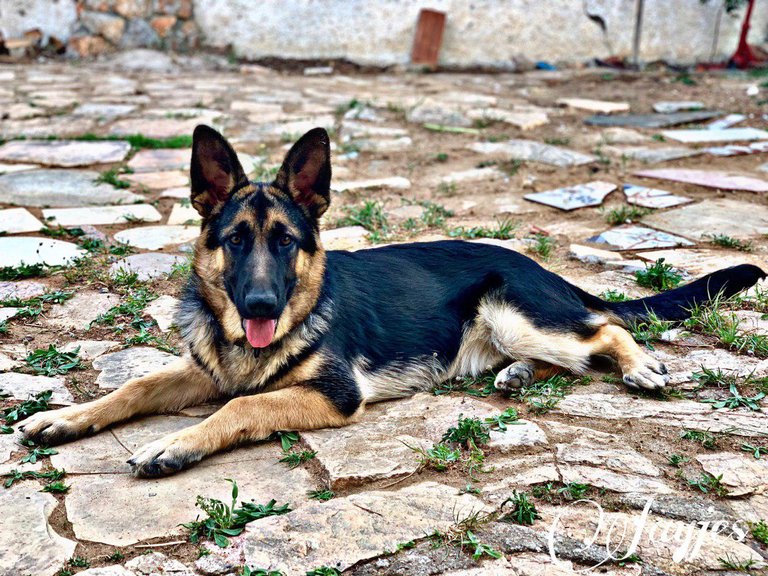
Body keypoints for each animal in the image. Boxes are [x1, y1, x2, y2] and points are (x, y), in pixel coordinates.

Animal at [21, 126, 764, 476]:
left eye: (286, 242)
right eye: (234, 241)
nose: (259, 308)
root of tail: (531, 261)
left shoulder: (331, 394)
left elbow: (243, 404)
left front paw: (173, 446)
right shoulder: (203, 368)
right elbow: (136, 387)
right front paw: (63, 418)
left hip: (514, 310)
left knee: (604, 329)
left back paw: (638, 366)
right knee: (576, 344)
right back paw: (519, 376)